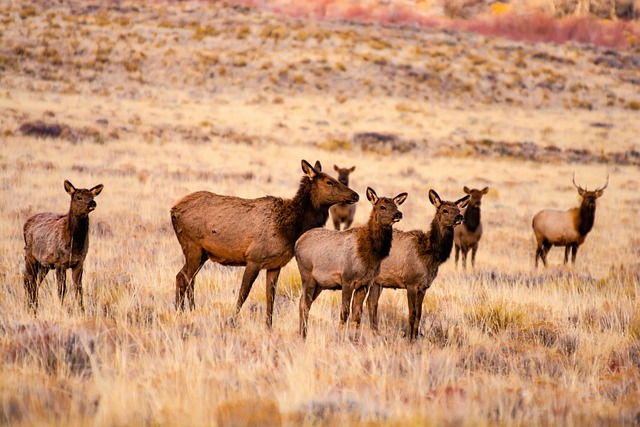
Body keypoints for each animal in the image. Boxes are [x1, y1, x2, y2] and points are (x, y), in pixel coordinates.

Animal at [22, 181, 104, 314]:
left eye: (92, 196)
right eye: (79, 197)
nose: (92, 203)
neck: (74, 246)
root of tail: (26, 222)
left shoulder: (79, 263)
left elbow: (78, 289)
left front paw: (82, 311)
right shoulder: (60, 263)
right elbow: (61, 289)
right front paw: (61, 309)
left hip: (44, 264)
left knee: (36, 282)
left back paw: (34, 306)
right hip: (30, 255)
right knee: (28, 280)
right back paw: (30, 307)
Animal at [169, 160, 360, 328]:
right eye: (329, 181)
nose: (355, 195)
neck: (291, 230)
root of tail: (173, 210)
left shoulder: (275, 265)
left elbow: (270, 297)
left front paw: (269, 326)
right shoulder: (254, 259)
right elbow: (243, 293)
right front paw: (232, 321)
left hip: (202, 254)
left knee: (188, 279)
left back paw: (189, 311)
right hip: (191, 245)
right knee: (182, 277)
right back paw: (180, 312)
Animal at [294, 187, 404, 338]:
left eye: (396, 205)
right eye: (382, 207)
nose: (399, 213)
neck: (371, 255)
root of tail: (297, 243)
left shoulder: (364, 284)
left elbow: (357, 315)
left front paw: (354, 339)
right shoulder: (347, 279)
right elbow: (344, 312)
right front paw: (340, 337)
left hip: (320, 284)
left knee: (303, 302)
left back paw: (303, 333)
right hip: (307, 275)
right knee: (304, 304)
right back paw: (303, 335)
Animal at [364, 190, 470, 342]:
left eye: (458, 209)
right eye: (445, 210)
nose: (459, 217)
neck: (429, 256)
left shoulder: (423, 287)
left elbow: (419, 313)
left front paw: (415, 337)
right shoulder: (411, 282)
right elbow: (412, 312)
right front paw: (409, 338)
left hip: (378, 282)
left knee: (371, 302)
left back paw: (375, 332)